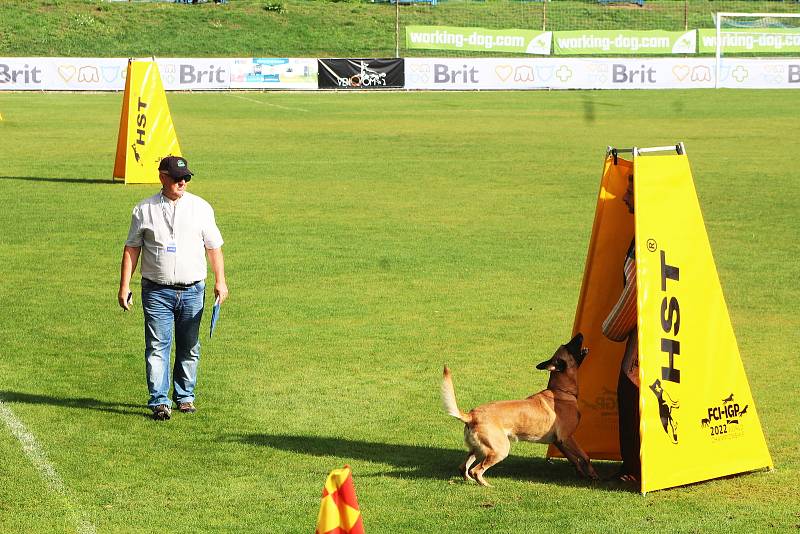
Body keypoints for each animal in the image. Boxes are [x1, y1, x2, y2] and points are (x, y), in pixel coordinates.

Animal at [440, 336, 596, 490]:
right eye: (569, 346)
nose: (580, 335)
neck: (561, 390)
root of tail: (472, 415)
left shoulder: (559, 442)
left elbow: (574, 459)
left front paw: (582, 473)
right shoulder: (566, 438)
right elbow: (584, 456)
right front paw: (593, 475)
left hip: (478, 449)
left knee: (463, 467)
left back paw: (470, 481)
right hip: (500, 449)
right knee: (476, 470)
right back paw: (486, 484)